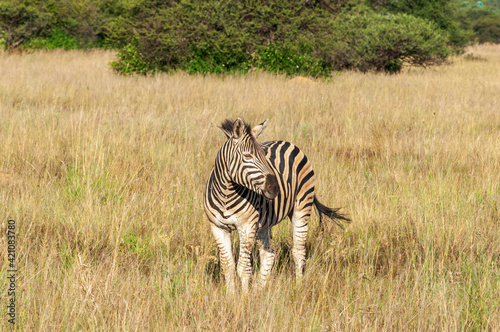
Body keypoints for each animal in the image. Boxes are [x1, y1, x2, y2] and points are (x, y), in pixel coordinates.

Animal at [202, 118, 348, 292]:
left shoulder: (246, 226)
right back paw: (259, 289)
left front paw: (244, 298)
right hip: (263, 223)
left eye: (264, 156)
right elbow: (228, 266)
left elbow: (243, 268)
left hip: (301, 208)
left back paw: (298, 287)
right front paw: (231, 296)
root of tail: (287, 142)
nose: (275, 188)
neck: (226, 195)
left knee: (298, 251)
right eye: (247, 156)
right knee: (269, 254)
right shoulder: (217, 227)